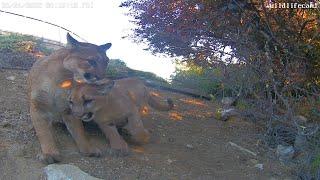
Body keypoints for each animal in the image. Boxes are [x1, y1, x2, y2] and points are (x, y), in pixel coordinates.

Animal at [27, 33, 112, 164]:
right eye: (91, 61)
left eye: (106, 62)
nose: (102, 77)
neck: (62, 80)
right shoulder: (39, 104)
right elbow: (44, 131)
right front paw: (50, 153)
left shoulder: (70, 109)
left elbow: (79, 131)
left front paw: (87, 149)